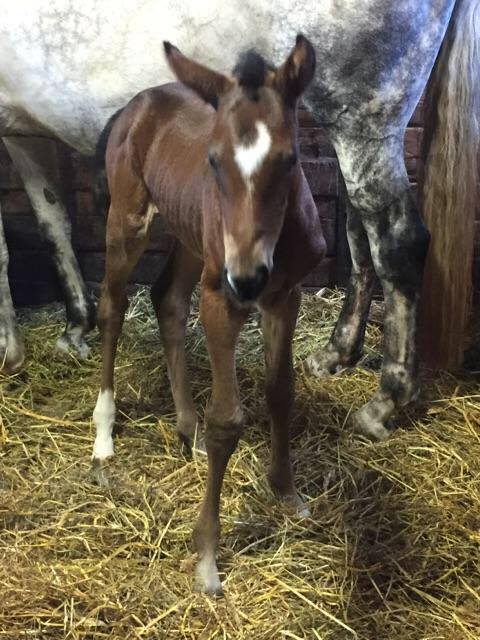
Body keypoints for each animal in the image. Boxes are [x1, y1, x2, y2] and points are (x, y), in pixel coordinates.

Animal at [92, 35, 326, 592]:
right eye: (214, 161)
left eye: (290, 160)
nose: (247, 278)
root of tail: (140, 100)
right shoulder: (221, 299)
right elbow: (228, 419)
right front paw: (206, 555)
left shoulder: (285, 295)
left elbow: (280, 391)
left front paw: (286, 491)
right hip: (128, 219)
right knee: (112, 306)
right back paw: (104, 434)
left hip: (190, 236)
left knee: (167, 298)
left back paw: (186, 429)